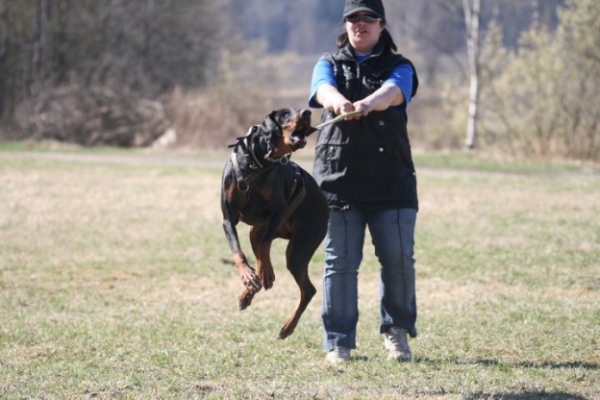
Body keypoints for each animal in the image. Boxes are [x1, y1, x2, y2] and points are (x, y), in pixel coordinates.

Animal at [220, 108, 328, 340]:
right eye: (285, 114)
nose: (307, 111)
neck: (256, 163)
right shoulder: (228, 218)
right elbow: (238, 252)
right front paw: (247, 275)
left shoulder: (280, 210)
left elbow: (265, 247)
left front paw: (264, 274)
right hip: (258, 232)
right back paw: (248, 292)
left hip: (298, 249)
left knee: (308, 289)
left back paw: (287, 325)